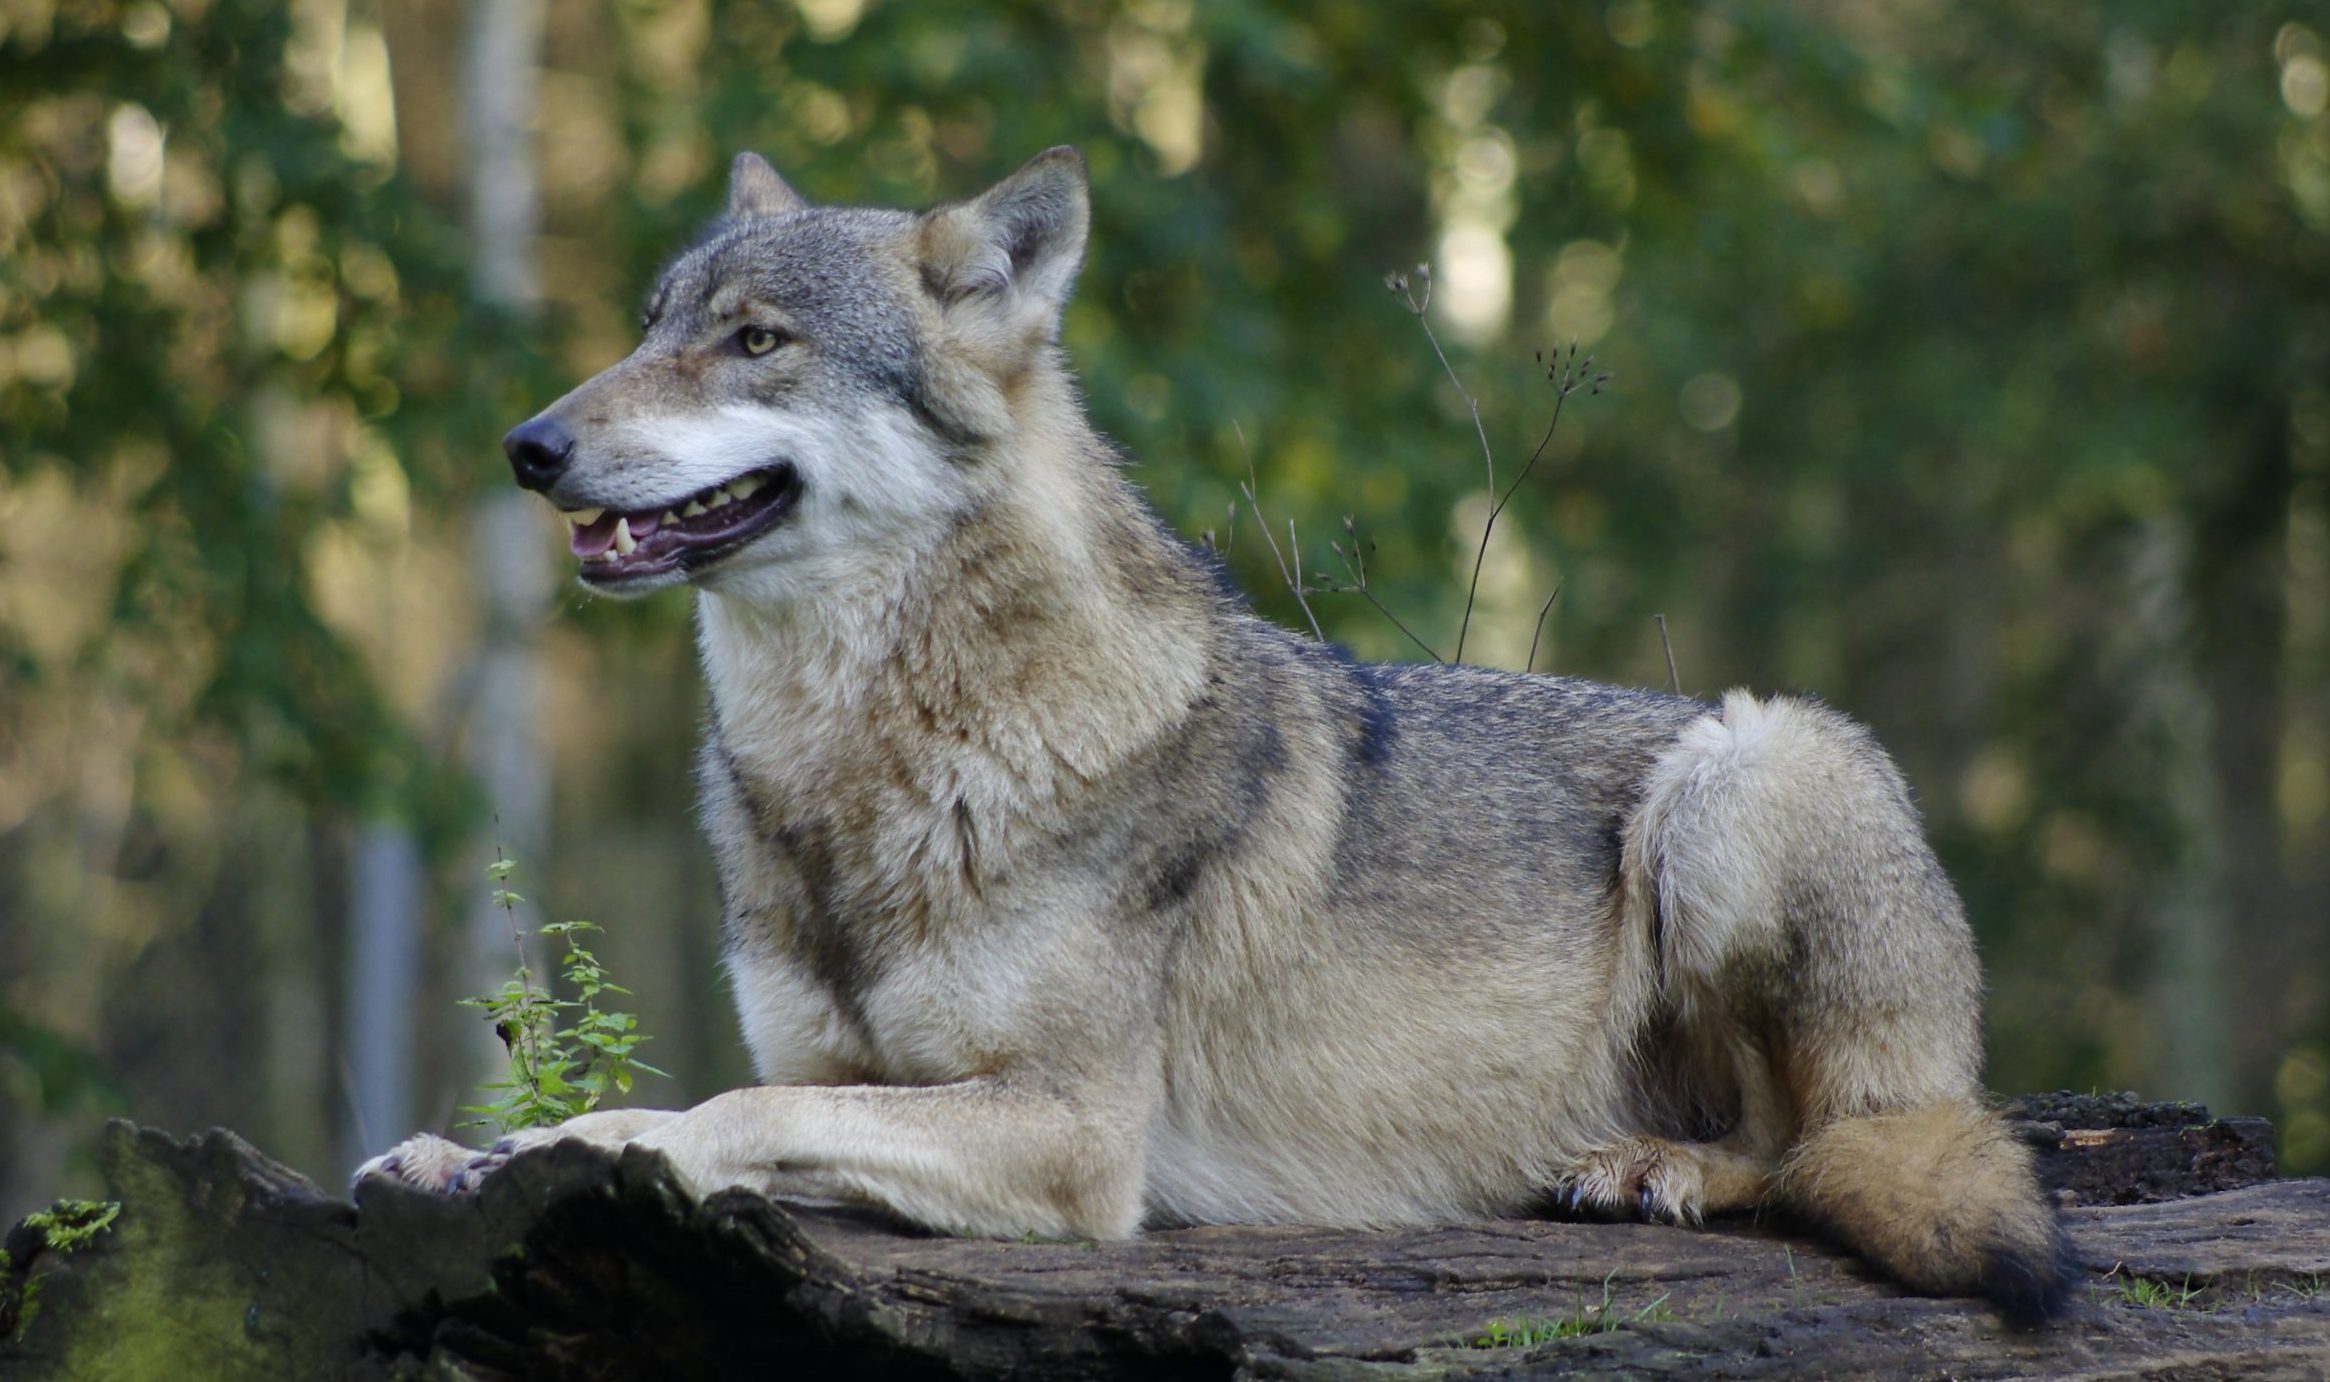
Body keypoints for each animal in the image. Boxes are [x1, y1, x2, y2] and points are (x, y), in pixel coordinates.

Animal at [361, 147, 2071, 1323]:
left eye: (758, 341)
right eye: (651, 326)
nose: (528, 446)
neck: (878, 756)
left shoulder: (1070, 1134)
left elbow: (728, 1113)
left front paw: (579, 1150)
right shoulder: (860, 1057)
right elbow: (689, 1098)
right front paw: (469, 1157)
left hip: (1741, 773)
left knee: (1811, 1142)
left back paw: (1646, 1165)